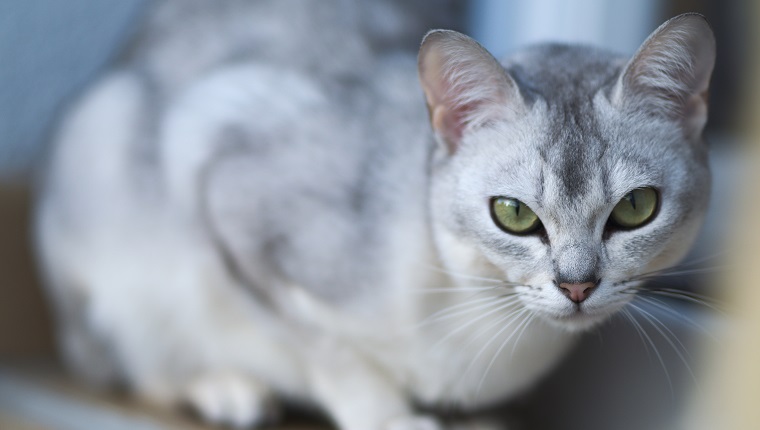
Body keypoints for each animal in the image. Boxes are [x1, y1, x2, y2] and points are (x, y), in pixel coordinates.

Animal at [34, 0, 712, 426]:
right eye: (514, 214)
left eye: (636, 208)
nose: (577, 286)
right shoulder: (226, 187)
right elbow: (329, 352)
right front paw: (390, 417)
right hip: (105, 197)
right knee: (124, 366)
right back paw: (225, 388)